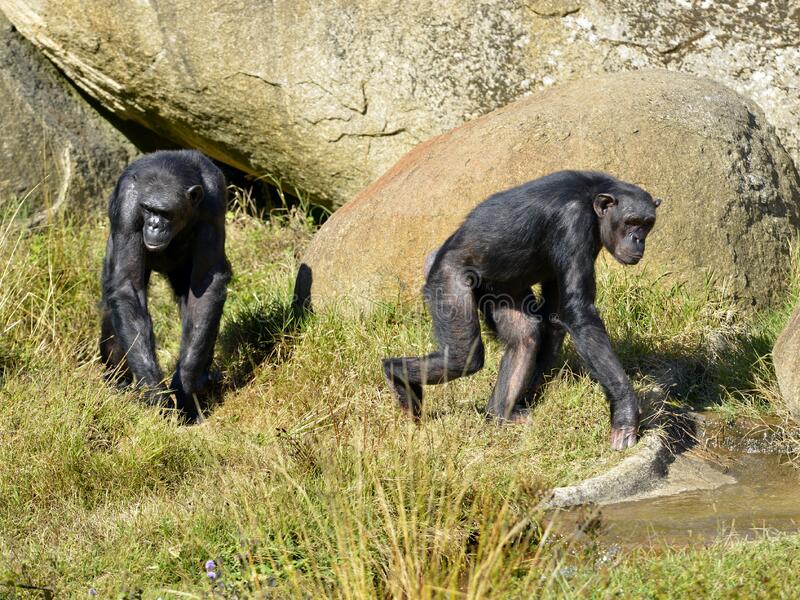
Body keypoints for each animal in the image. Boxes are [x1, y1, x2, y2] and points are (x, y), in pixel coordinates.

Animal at [99, 150, 231, 420]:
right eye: (148, 209)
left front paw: (186, 384)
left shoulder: (214, 206)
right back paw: (117, 382)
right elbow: (127, 287)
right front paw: (154, 393)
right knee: (114, 308)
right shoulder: (127, 207)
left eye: (166, 213)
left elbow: (206, 285)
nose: (154, 225)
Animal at [382, 171, 664, 448]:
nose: (638, 239)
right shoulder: (572, 224)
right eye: (631, 221)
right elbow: (579, 312)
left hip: (500, 289)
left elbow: (555, 316)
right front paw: (626, 413)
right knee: (463, 357)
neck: (593, 203)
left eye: (647, 223)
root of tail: (435, 256)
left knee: (524, 337)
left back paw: (499, 415)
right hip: (446, 279)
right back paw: (398, 378)